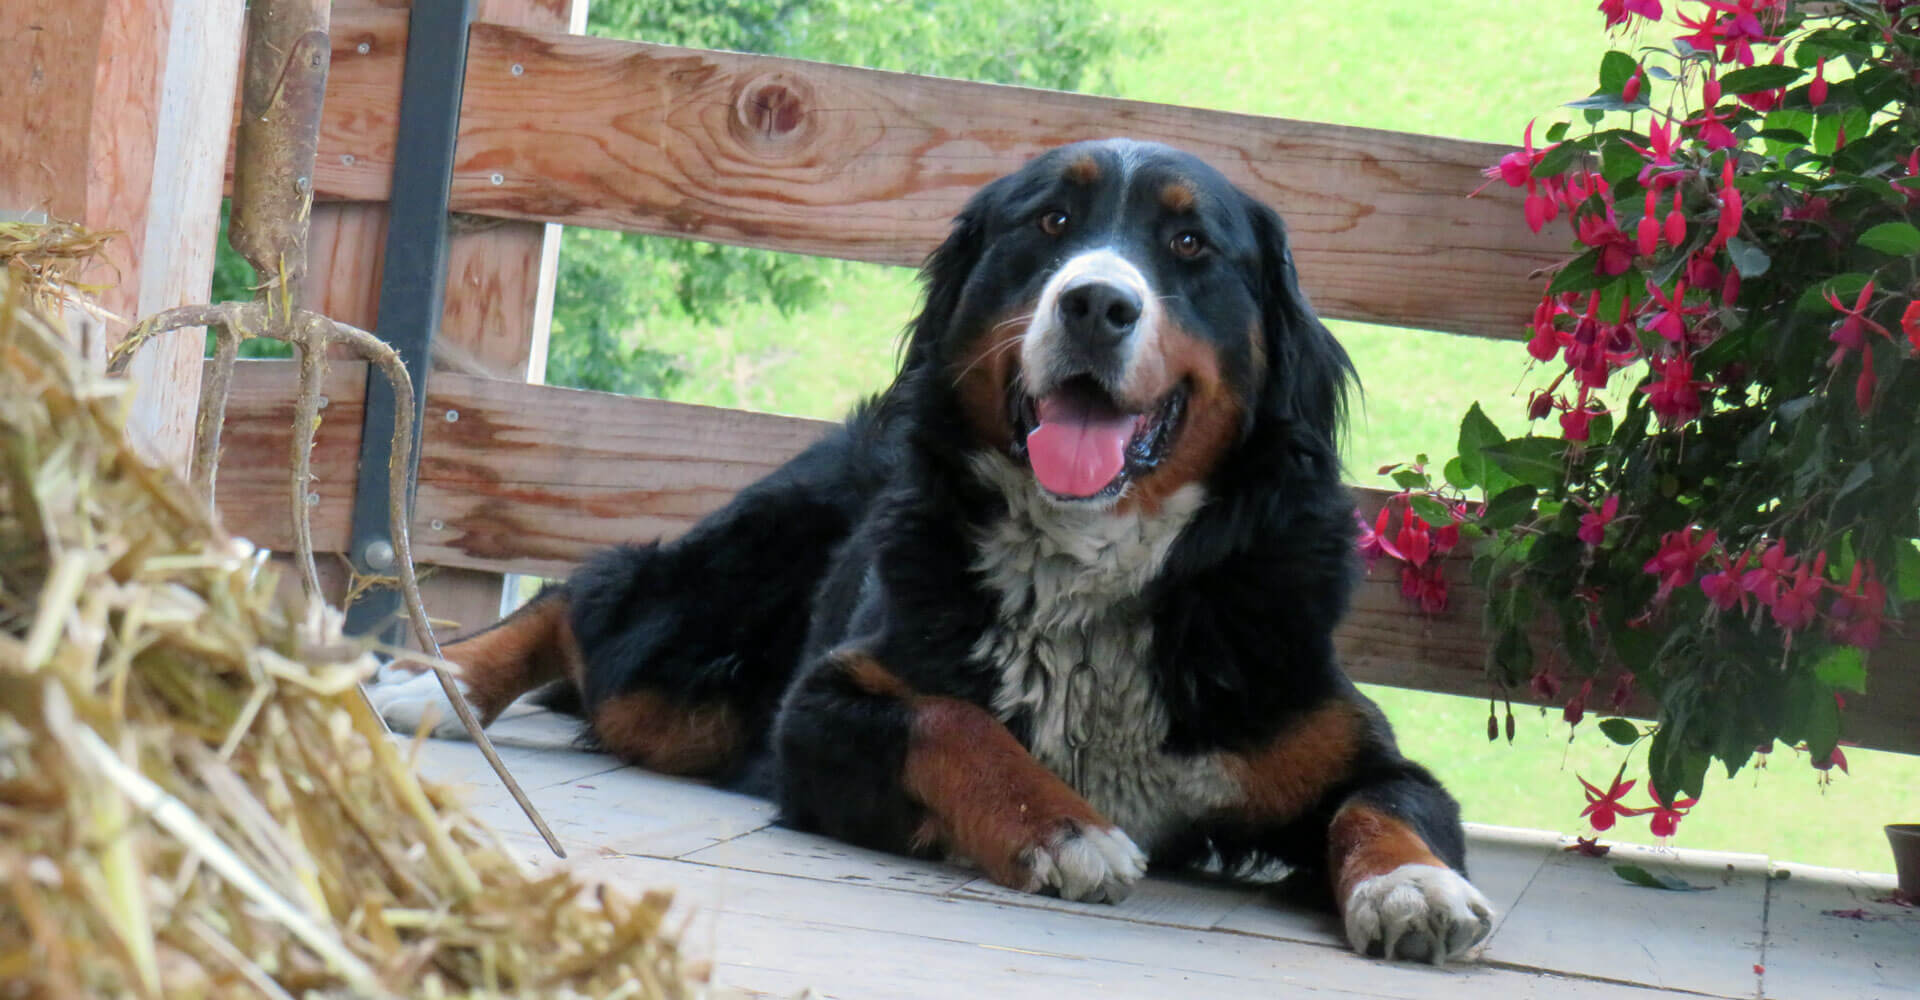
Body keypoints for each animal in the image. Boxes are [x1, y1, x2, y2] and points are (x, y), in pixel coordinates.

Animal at [366, 138, 1489, 959]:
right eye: (1052, 223)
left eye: (1189, 244)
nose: (1096, 302)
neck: (1094, 569)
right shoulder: (817, 709)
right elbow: (953, 721)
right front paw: (1065, 829)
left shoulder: (1341, 741)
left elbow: (1388, 801)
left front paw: (1416, 887)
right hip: (692, 671)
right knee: (588, 597)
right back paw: (434, 687)